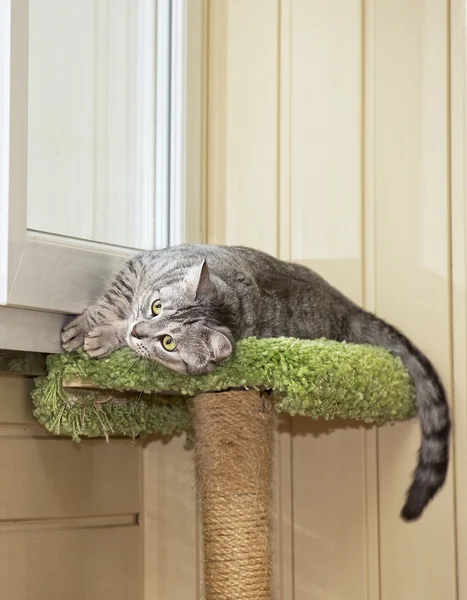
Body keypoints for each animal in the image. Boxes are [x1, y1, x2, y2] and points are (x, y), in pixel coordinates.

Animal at [61, 243, 450, 520]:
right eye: (156, 307)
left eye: (168, 342)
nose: (139, 330)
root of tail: (347, 305)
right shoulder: (138, 267)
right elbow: (112, 304)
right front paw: (93, 328)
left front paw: (103, 337)